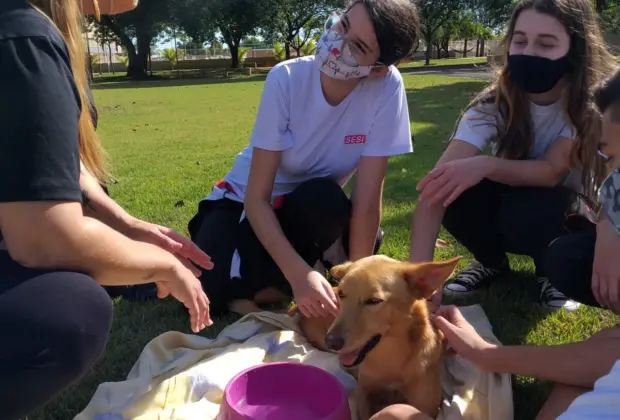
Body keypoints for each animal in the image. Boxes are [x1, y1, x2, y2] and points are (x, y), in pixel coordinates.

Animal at [290, 254, 460, 418]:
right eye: (341, 294)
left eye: (374, 301)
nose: (331, 342)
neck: (392, 360)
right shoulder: (364, 393)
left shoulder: (426, 408)